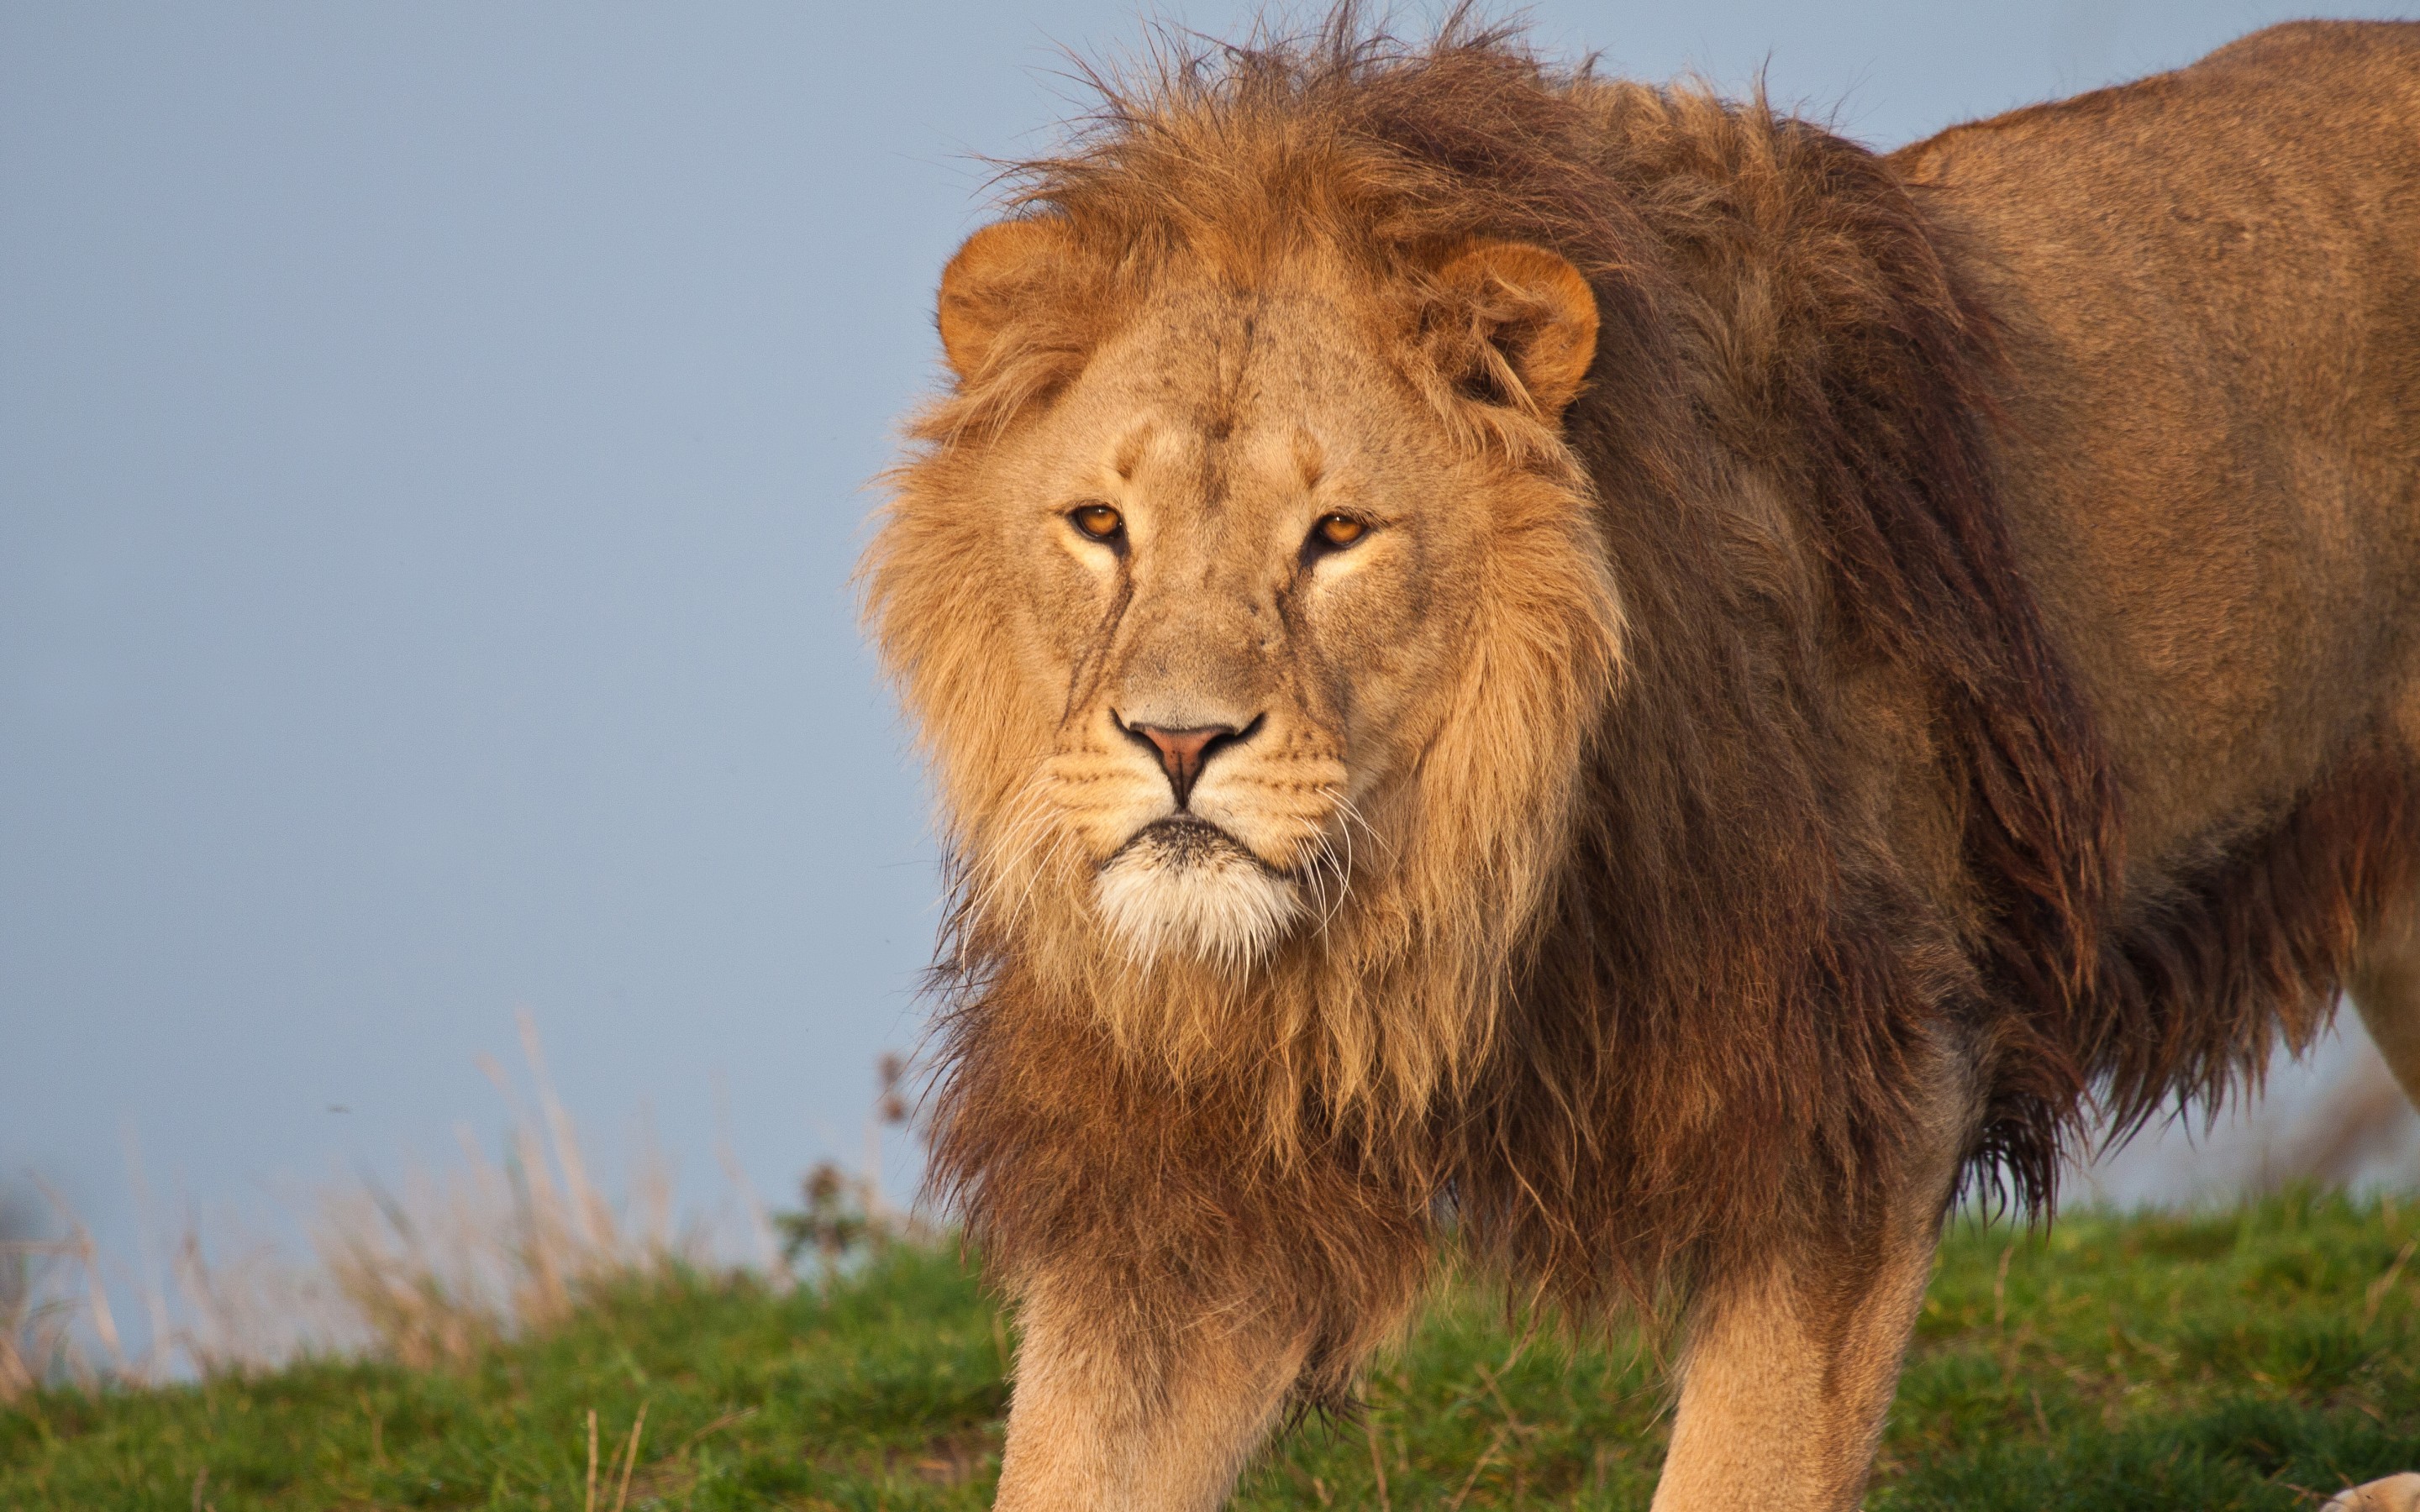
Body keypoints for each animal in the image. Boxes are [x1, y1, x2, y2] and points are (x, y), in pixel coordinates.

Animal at [866, 14, 2420, 1509]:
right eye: (1099, 527)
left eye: (1338, 536)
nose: (1178, 740)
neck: (1450, 895)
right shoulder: (1186, 1184)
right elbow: (1070, 1464)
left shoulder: (1862, 1093)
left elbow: (1747, 1467)